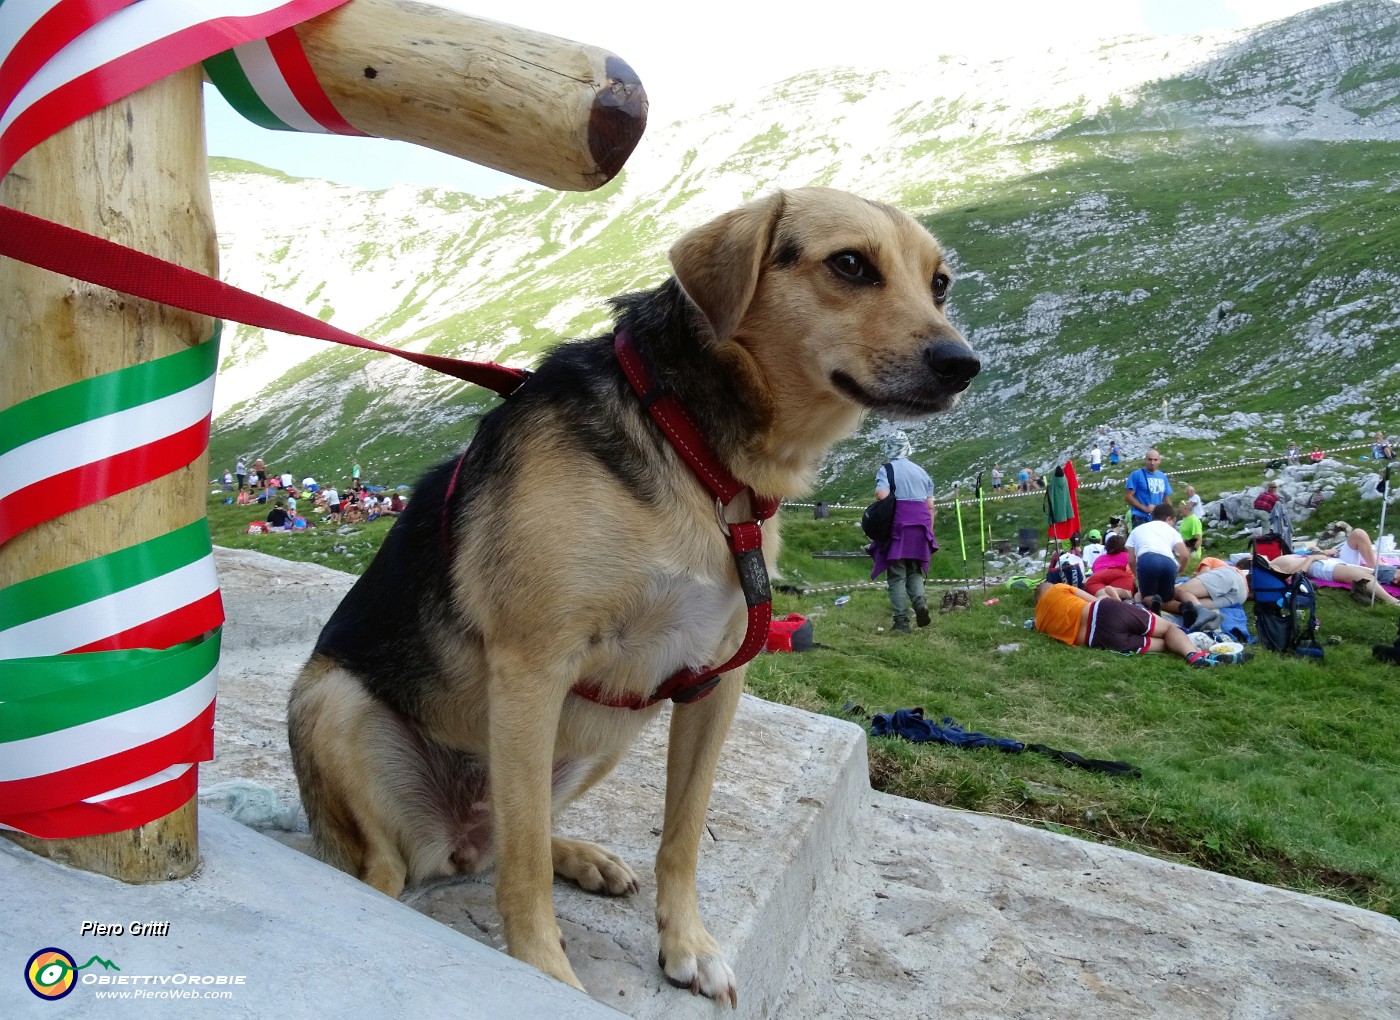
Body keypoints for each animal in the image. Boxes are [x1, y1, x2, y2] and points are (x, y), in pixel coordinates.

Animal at [288, 184, 980, 1001]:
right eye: (849, 264)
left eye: (940, 284)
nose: (962, 363)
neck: (696, 452)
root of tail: (448, 837)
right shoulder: (532, 668)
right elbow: (523, 870)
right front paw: (543, 971)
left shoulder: (713, 682)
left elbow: (680, 836)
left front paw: (687, 944)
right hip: (339, 704)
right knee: (420, 862)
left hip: (603, 729)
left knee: (503, 836)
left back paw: (580, 856)